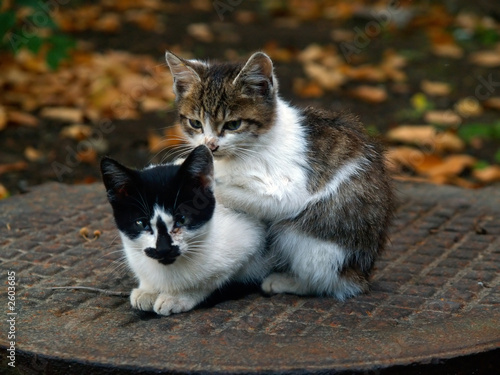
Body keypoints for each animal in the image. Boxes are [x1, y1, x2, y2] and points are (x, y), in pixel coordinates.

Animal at [99, 145, 268, 316]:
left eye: (182, 220)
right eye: (141, 223)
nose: (163, 249)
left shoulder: (250, 239)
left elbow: (211, 279)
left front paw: (177, 297)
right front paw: (148, 290)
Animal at [165, 52, 394, 302]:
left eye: (233, 124)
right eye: (195, 123)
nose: (210, 145)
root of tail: (361, 273)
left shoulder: (290, 192)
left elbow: (240, 193)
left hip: (307, 234)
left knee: (324, 279)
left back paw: (286, 281)